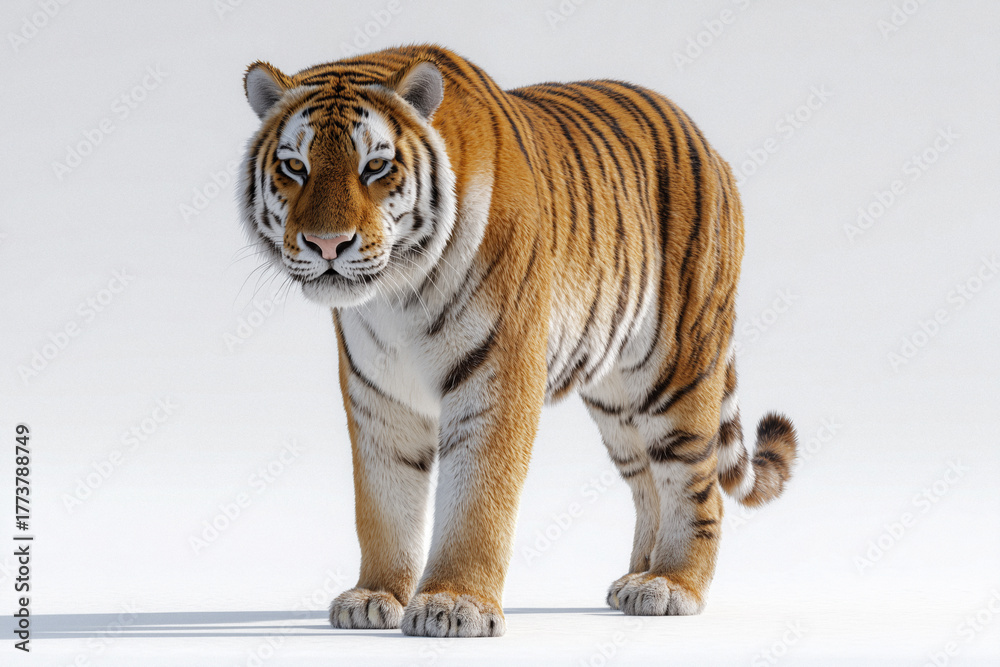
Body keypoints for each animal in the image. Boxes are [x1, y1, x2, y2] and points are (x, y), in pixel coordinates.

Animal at [239, 43, 797, 638]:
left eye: (376, 167)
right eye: (295, 167)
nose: (327, 244)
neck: (397, 295)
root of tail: (708, 146)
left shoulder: (497, 374)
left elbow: (479, 498)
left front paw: (454, 602)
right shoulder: (379, 394)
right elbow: (383, 504)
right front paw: (374, 596)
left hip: (676, 370)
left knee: (697, 483)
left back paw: (672, 584)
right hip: (617, 397)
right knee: (649, 483)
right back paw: (637, 579)